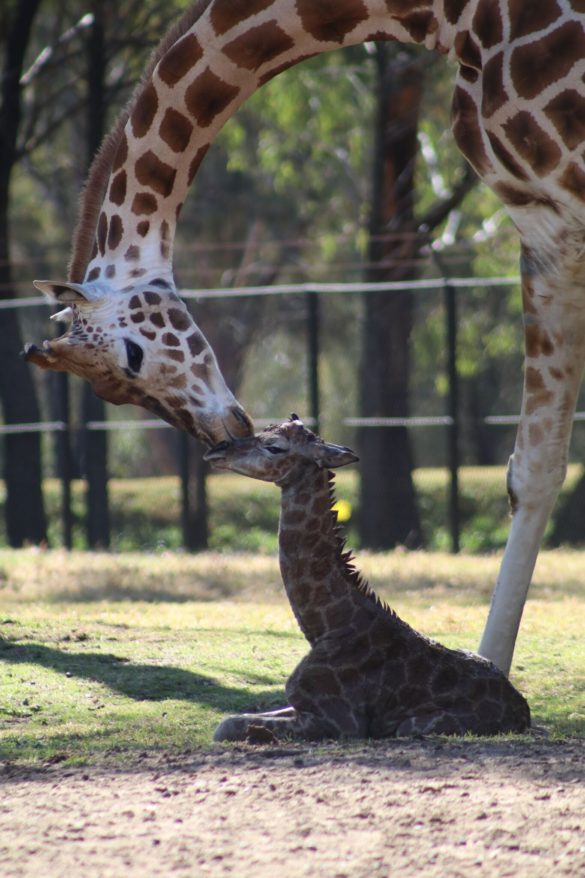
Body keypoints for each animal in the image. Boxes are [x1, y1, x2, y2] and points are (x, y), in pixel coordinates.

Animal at [24, 0, 584, 672]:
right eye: (111, 393)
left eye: (133, 358)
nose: (223, 434)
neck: (450, 21)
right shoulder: (546, 222)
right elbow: (535, 467)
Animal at [205, 420, 528, 744]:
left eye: (274, 446)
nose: (217, 450)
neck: (325, 627)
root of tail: (522, 710)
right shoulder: (300, 705)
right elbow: (230, 720)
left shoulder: (342, 721)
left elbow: (227, 726)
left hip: (412, 726)